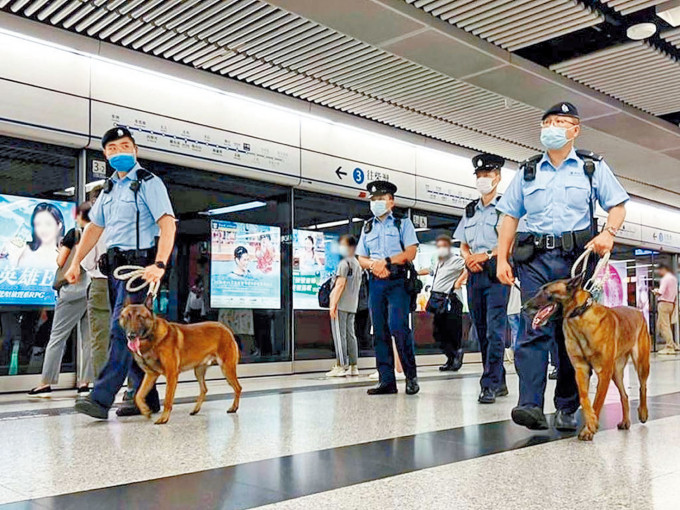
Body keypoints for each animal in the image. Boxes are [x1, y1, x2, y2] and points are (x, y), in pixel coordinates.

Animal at [119, 296, 242, 424]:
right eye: (127, 316)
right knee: (204, 389)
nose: (131, 335)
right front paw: (145, 410)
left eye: (140, 317)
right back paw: (196, 410)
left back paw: (234, 407)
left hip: (226, 369)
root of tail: (226, 329)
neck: (152, 338)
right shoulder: (151, 375)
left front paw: (164, 418)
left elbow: (168, 399)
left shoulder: (171, 375)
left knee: (238, 388)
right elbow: (138, 395)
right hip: (199, 371)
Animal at [524, 274, 652, 442]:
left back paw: (643, 412)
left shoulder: (603, 373)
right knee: (624, 395)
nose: (523, 308)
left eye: (546, 292)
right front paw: (590, 421)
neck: (579, 315)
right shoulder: (581, 370)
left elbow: (597, 403)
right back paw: (625, 421)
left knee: (643, 387)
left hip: (640, 364)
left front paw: (589, 428)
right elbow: (584, 398)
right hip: (615, 372)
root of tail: (638, 311)